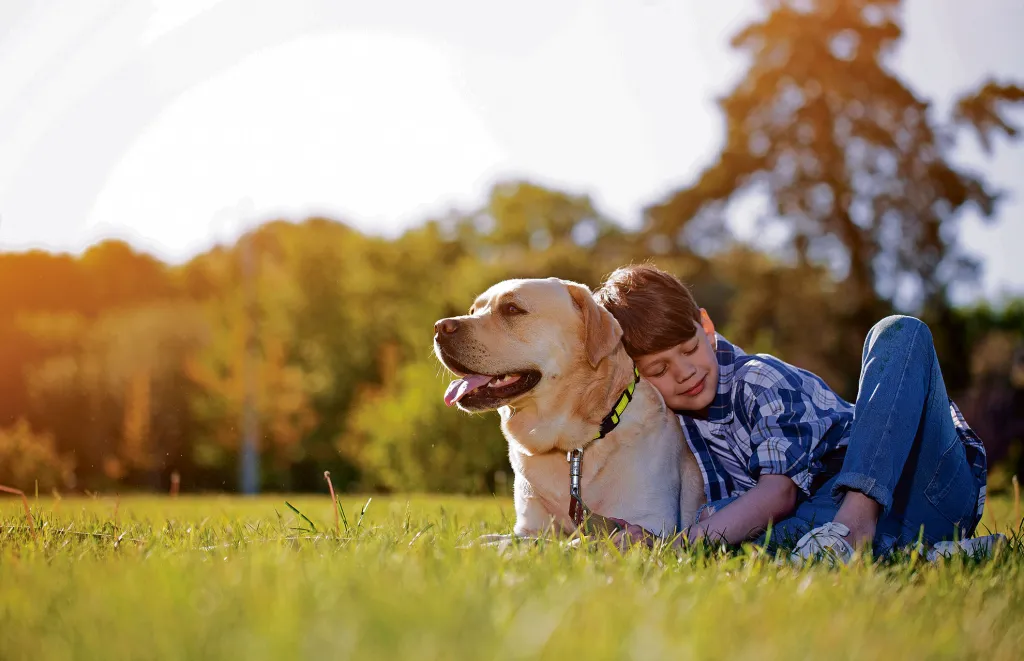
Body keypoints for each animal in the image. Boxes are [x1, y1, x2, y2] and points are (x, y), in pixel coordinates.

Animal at [430, 276, 704, 540]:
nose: (440, 327)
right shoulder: (529, 527)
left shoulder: (652, 525)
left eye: (512, 309)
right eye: (473, 310)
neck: (573, 445)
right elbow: (500, 540)